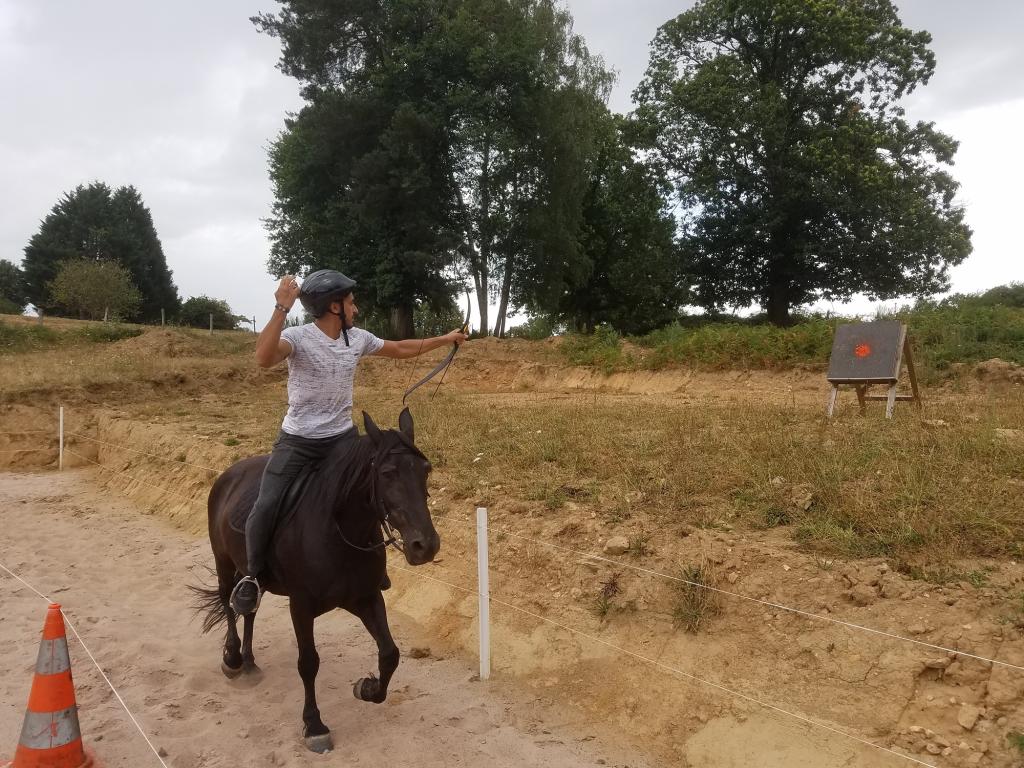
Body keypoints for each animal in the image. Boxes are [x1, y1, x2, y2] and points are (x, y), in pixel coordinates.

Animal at [192, 409, 440, 753]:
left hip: (253, 577)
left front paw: (367, 688)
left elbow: (390, 653)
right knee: (229, 605)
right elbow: (308, 663)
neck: (338, 531)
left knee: (249, 610)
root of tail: (229, 473)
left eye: (425, 470)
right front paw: (314, 726)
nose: (424, 546)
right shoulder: (301, 606)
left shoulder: (366, 598)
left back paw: (250, 663)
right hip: (224, 563)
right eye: (388, 473)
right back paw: (233, 658)